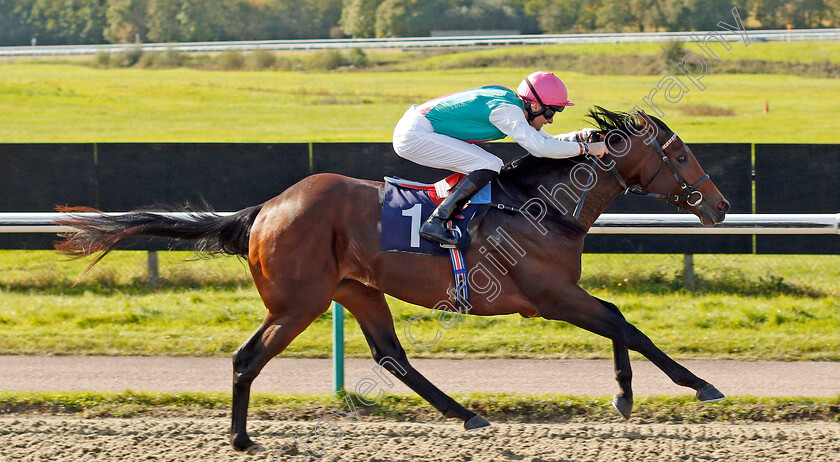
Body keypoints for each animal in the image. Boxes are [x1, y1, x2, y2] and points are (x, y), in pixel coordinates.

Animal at [57, 107, 728, 452]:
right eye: (680, 154)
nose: (720, 207)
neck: (542, 206)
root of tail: (265, 209)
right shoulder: (549, 296)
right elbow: (624, 322)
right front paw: (697, 384)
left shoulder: (559, 295)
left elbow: (617, 319)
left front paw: (625, 395)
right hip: (297, 302)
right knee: (248, 358)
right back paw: (242, 439)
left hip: (355, 290)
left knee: (391, 356)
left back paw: (467, 415)